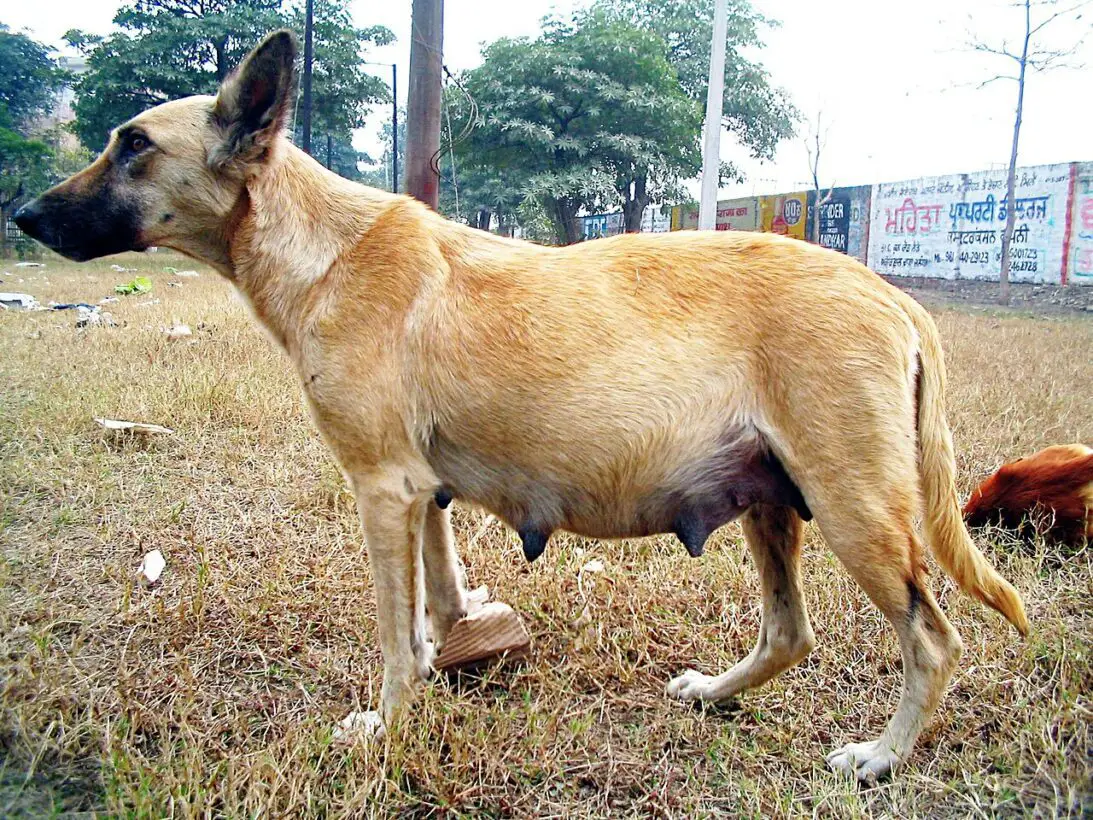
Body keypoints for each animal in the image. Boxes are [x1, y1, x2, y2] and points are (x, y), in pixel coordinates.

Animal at [12, 30, 1027, 782]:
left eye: (134, 145)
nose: (22, 215)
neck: (320, 247)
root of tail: (892, 295)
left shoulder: (381, 489)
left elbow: (394, 635)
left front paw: (388, 727)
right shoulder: (421, 492)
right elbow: (436, 601)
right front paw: (446, 659)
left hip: (855, 511)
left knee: (933, 641)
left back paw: (880, 758)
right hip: (772, 503)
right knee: (790, 632)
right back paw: (715, 694)